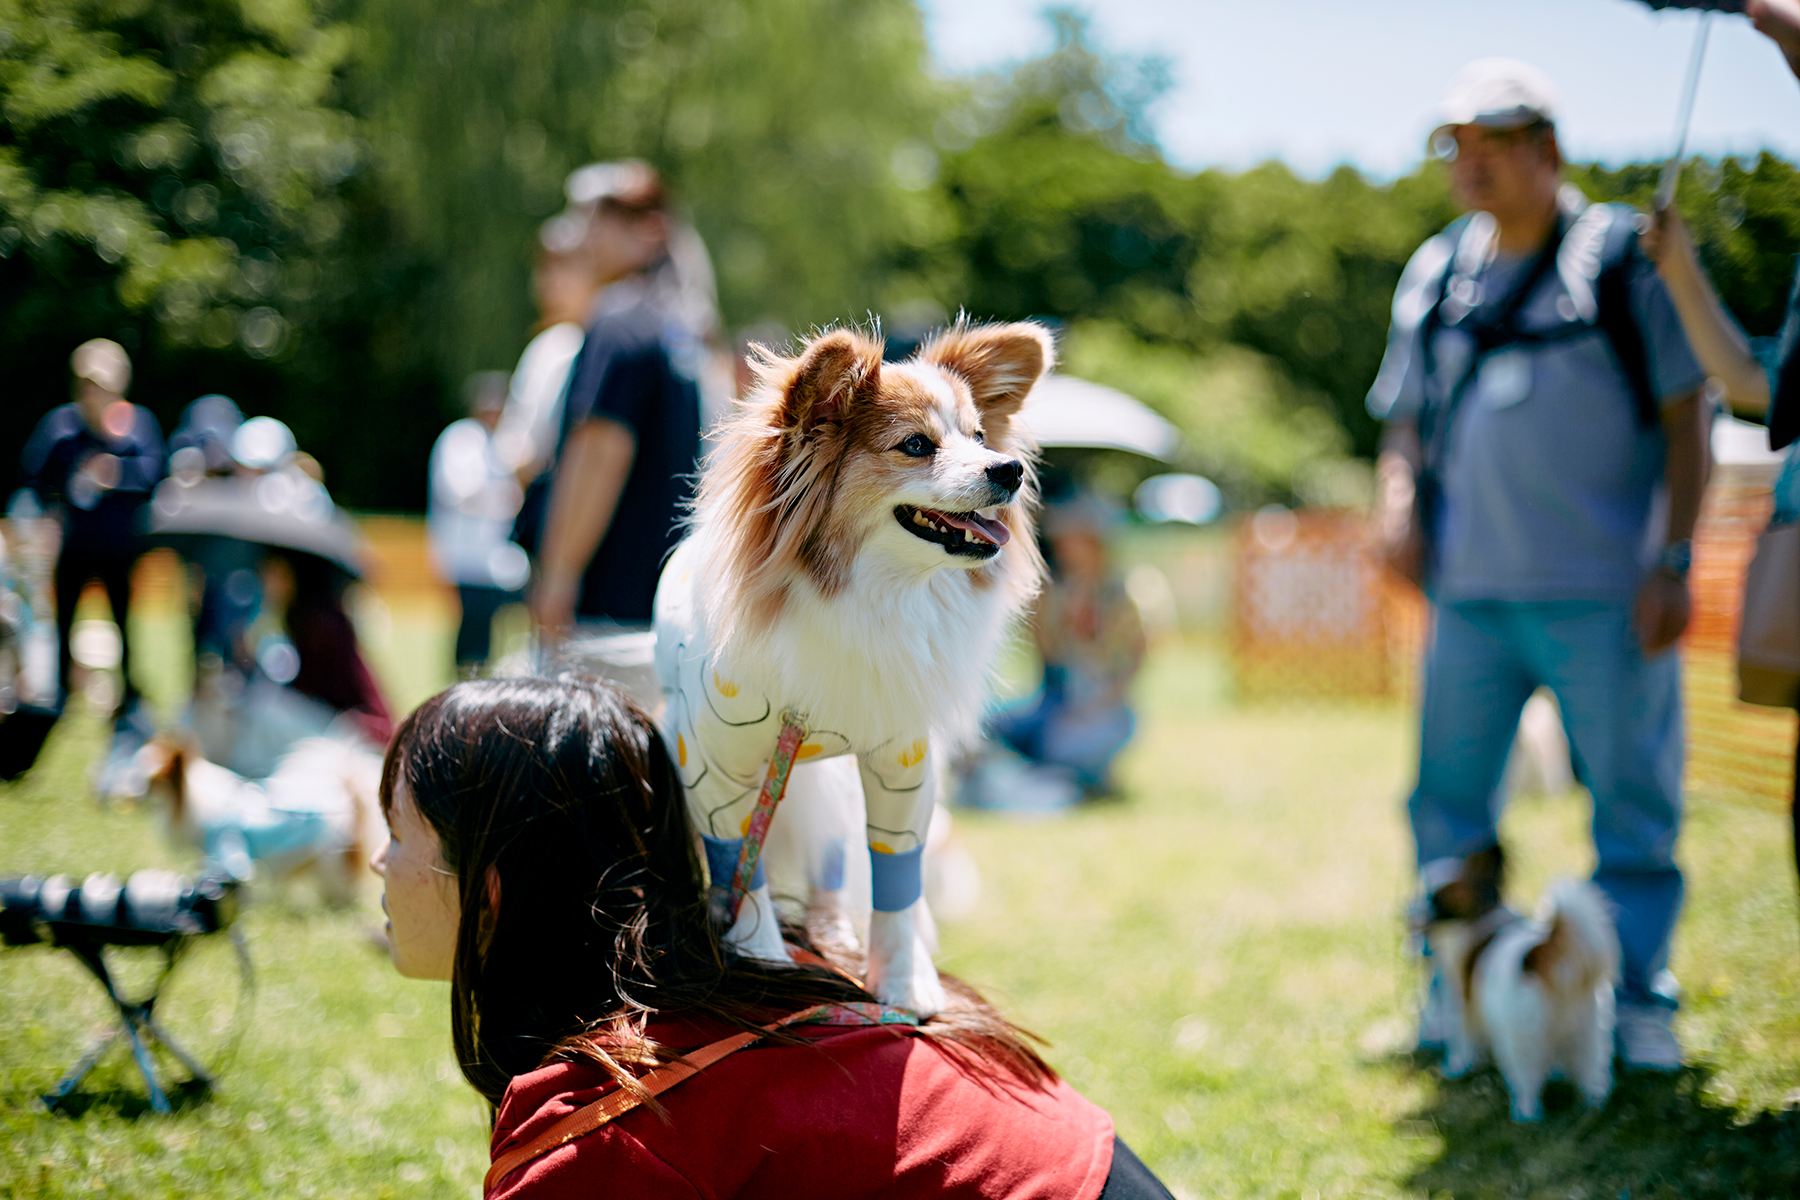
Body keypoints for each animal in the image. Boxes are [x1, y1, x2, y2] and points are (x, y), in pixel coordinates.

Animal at [651, 318, 1051, 1014]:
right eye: (916, 445)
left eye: (979, 437)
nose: (1011, 468)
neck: (874, 596)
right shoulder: (710, 765)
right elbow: (741, 872)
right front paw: (761, 956)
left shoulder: (902, 762)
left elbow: (896, 880)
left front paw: (903, 981)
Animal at [1425, 849, 1627, 1122]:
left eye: (1434, 899)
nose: (1407, 909)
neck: (1481, 914)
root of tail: (1538, 953)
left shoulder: (1458, 1002)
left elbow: (1460, 1041)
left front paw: (1455, 1068)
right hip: (1591, 1032)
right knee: (1593, 1073)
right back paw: (1593, 1108)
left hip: (1522, 1039)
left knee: (1527, 1077)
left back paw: (1525, 1114)